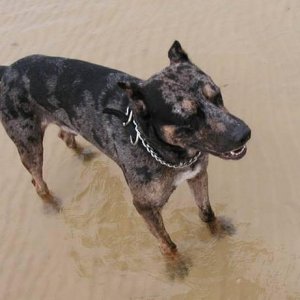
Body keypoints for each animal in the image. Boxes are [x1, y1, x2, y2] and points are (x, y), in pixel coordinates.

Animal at [0, 40, 251, 255]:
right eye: (189, 116)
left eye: (217, 95)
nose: (244, 134)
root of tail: (8, 69)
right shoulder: (145, 207)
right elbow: (168, 244)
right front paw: (176, 267)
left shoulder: (198, 175)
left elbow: (207, 212)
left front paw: (217, 232)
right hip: (29, 144)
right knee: (37, 180)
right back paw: (50, 201)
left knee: (64, 134)